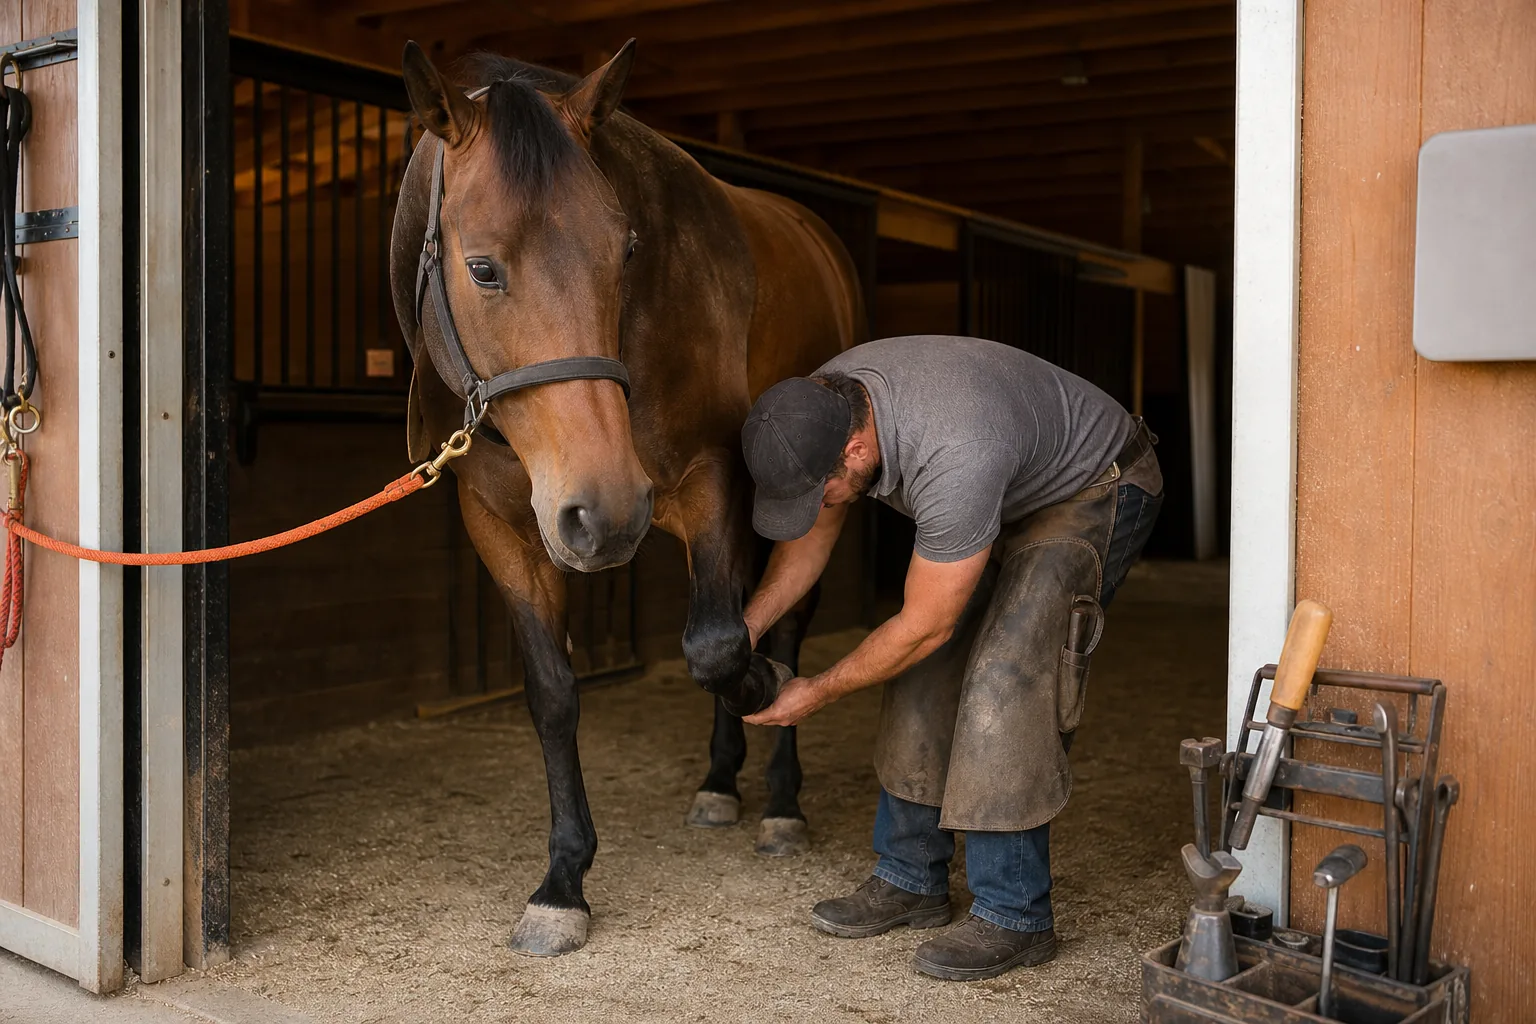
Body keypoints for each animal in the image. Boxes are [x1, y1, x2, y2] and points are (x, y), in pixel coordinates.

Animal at [390, 40, 865, 957]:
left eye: (627, 252)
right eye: (482, 268)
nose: (604, 513)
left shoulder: (711, 479)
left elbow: (720, 647)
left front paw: (761, 688)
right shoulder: (499, 526)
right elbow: (552, 693)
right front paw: (563, 883)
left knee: (783, 621)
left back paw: (781, 798)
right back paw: (721, 782)